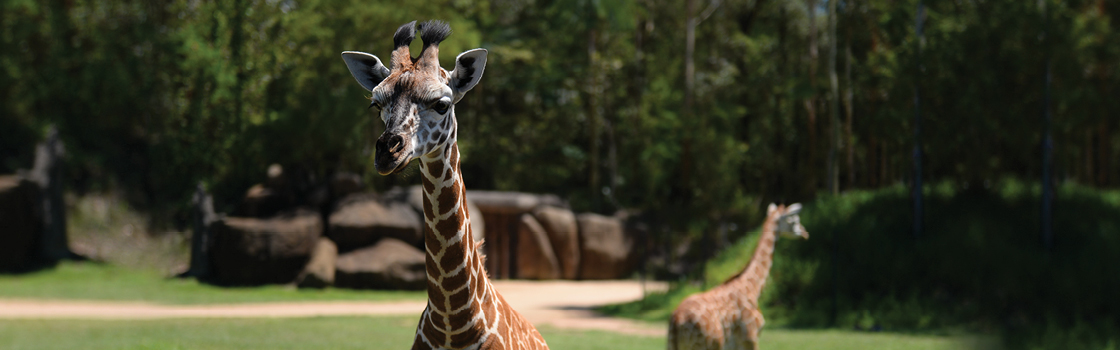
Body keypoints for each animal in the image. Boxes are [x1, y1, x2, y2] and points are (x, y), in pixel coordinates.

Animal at [667, 201, 810, 349]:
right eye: (794, 220)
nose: (805, 233)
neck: (754, 288)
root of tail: (676, 322)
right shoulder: (750, 338)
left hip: (674, 345)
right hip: (708, 345)